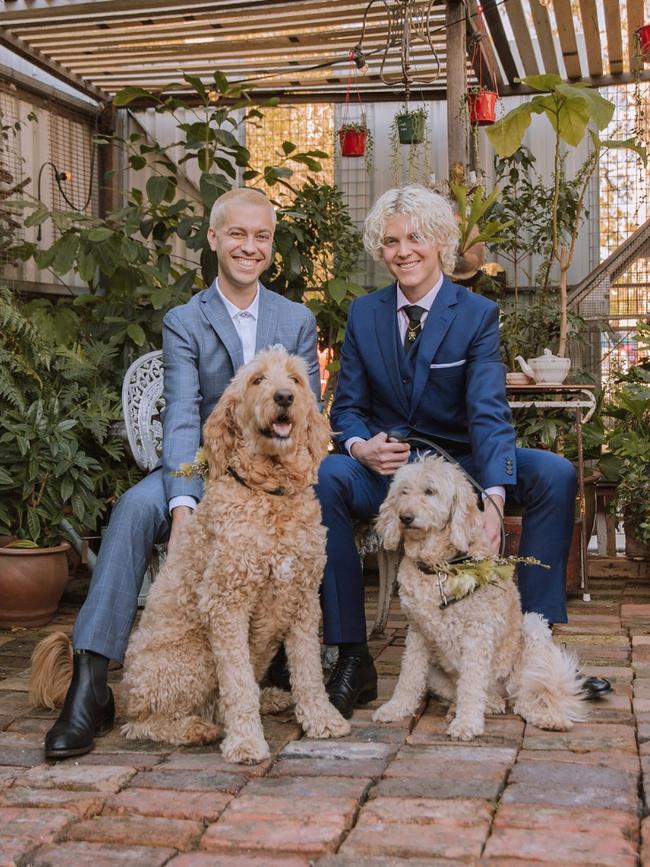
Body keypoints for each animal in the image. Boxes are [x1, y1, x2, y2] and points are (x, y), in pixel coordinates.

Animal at [370, 454, 584, 740]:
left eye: (430, 491)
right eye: (403, 492)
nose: (405, 517)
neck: (438, 567)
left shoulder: (477, 634)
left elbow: (472, 683)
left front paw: (467, 723)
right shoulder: (418, 633)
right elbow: (409, 676)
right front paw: (396, 708)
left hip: (532, 631)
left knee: (524, 695)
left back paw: (544, 716)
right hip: (438, 674)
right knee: (478, 695)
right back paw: (474, 706)